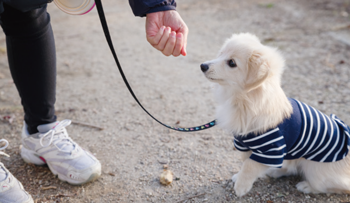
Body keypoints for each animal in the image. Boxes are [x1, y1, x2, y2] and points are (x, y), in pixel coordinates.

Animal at [201, 32, 350, 197]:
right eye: (221, 53)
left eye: (232, 63)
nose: (203, 66)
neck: (244, 101)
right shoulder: (246, 145)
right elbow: (245, 161)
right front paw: (239, 178)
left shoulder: (271, 149)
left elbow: (249, 165)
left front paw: (240, 187)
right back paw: (275, 171)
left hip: (313, 168)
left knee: (338, 185)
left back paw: (307, 186)